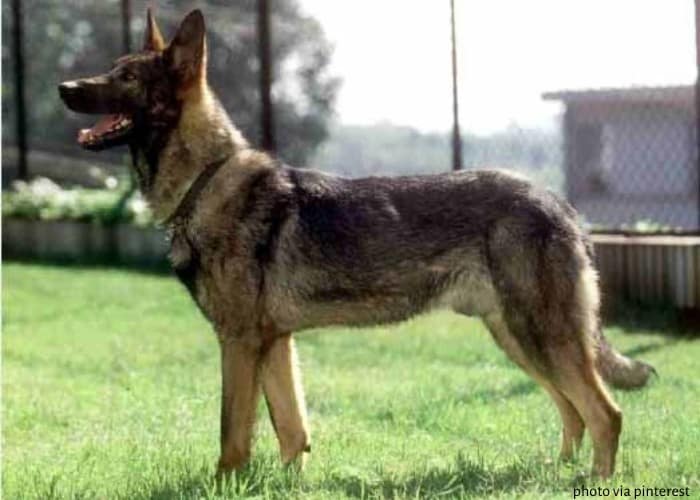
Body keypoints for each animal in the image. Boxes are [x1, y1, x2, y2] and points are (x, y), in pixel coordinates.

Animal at [57, 6, 652, 476]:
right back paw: (555, 472)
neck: (206, 179)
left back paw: (593, 481)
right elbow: (291, 430)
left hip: (541, 336)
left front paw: (227, 484)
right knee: (574, 411)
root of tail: (560, 204)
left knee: (605, 414)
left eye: (125, 77)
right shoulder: (275, 343)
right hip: (517, 337)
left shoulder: (241, 343)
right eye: (112, 69)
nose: (64, 88)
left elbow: (233, 435)